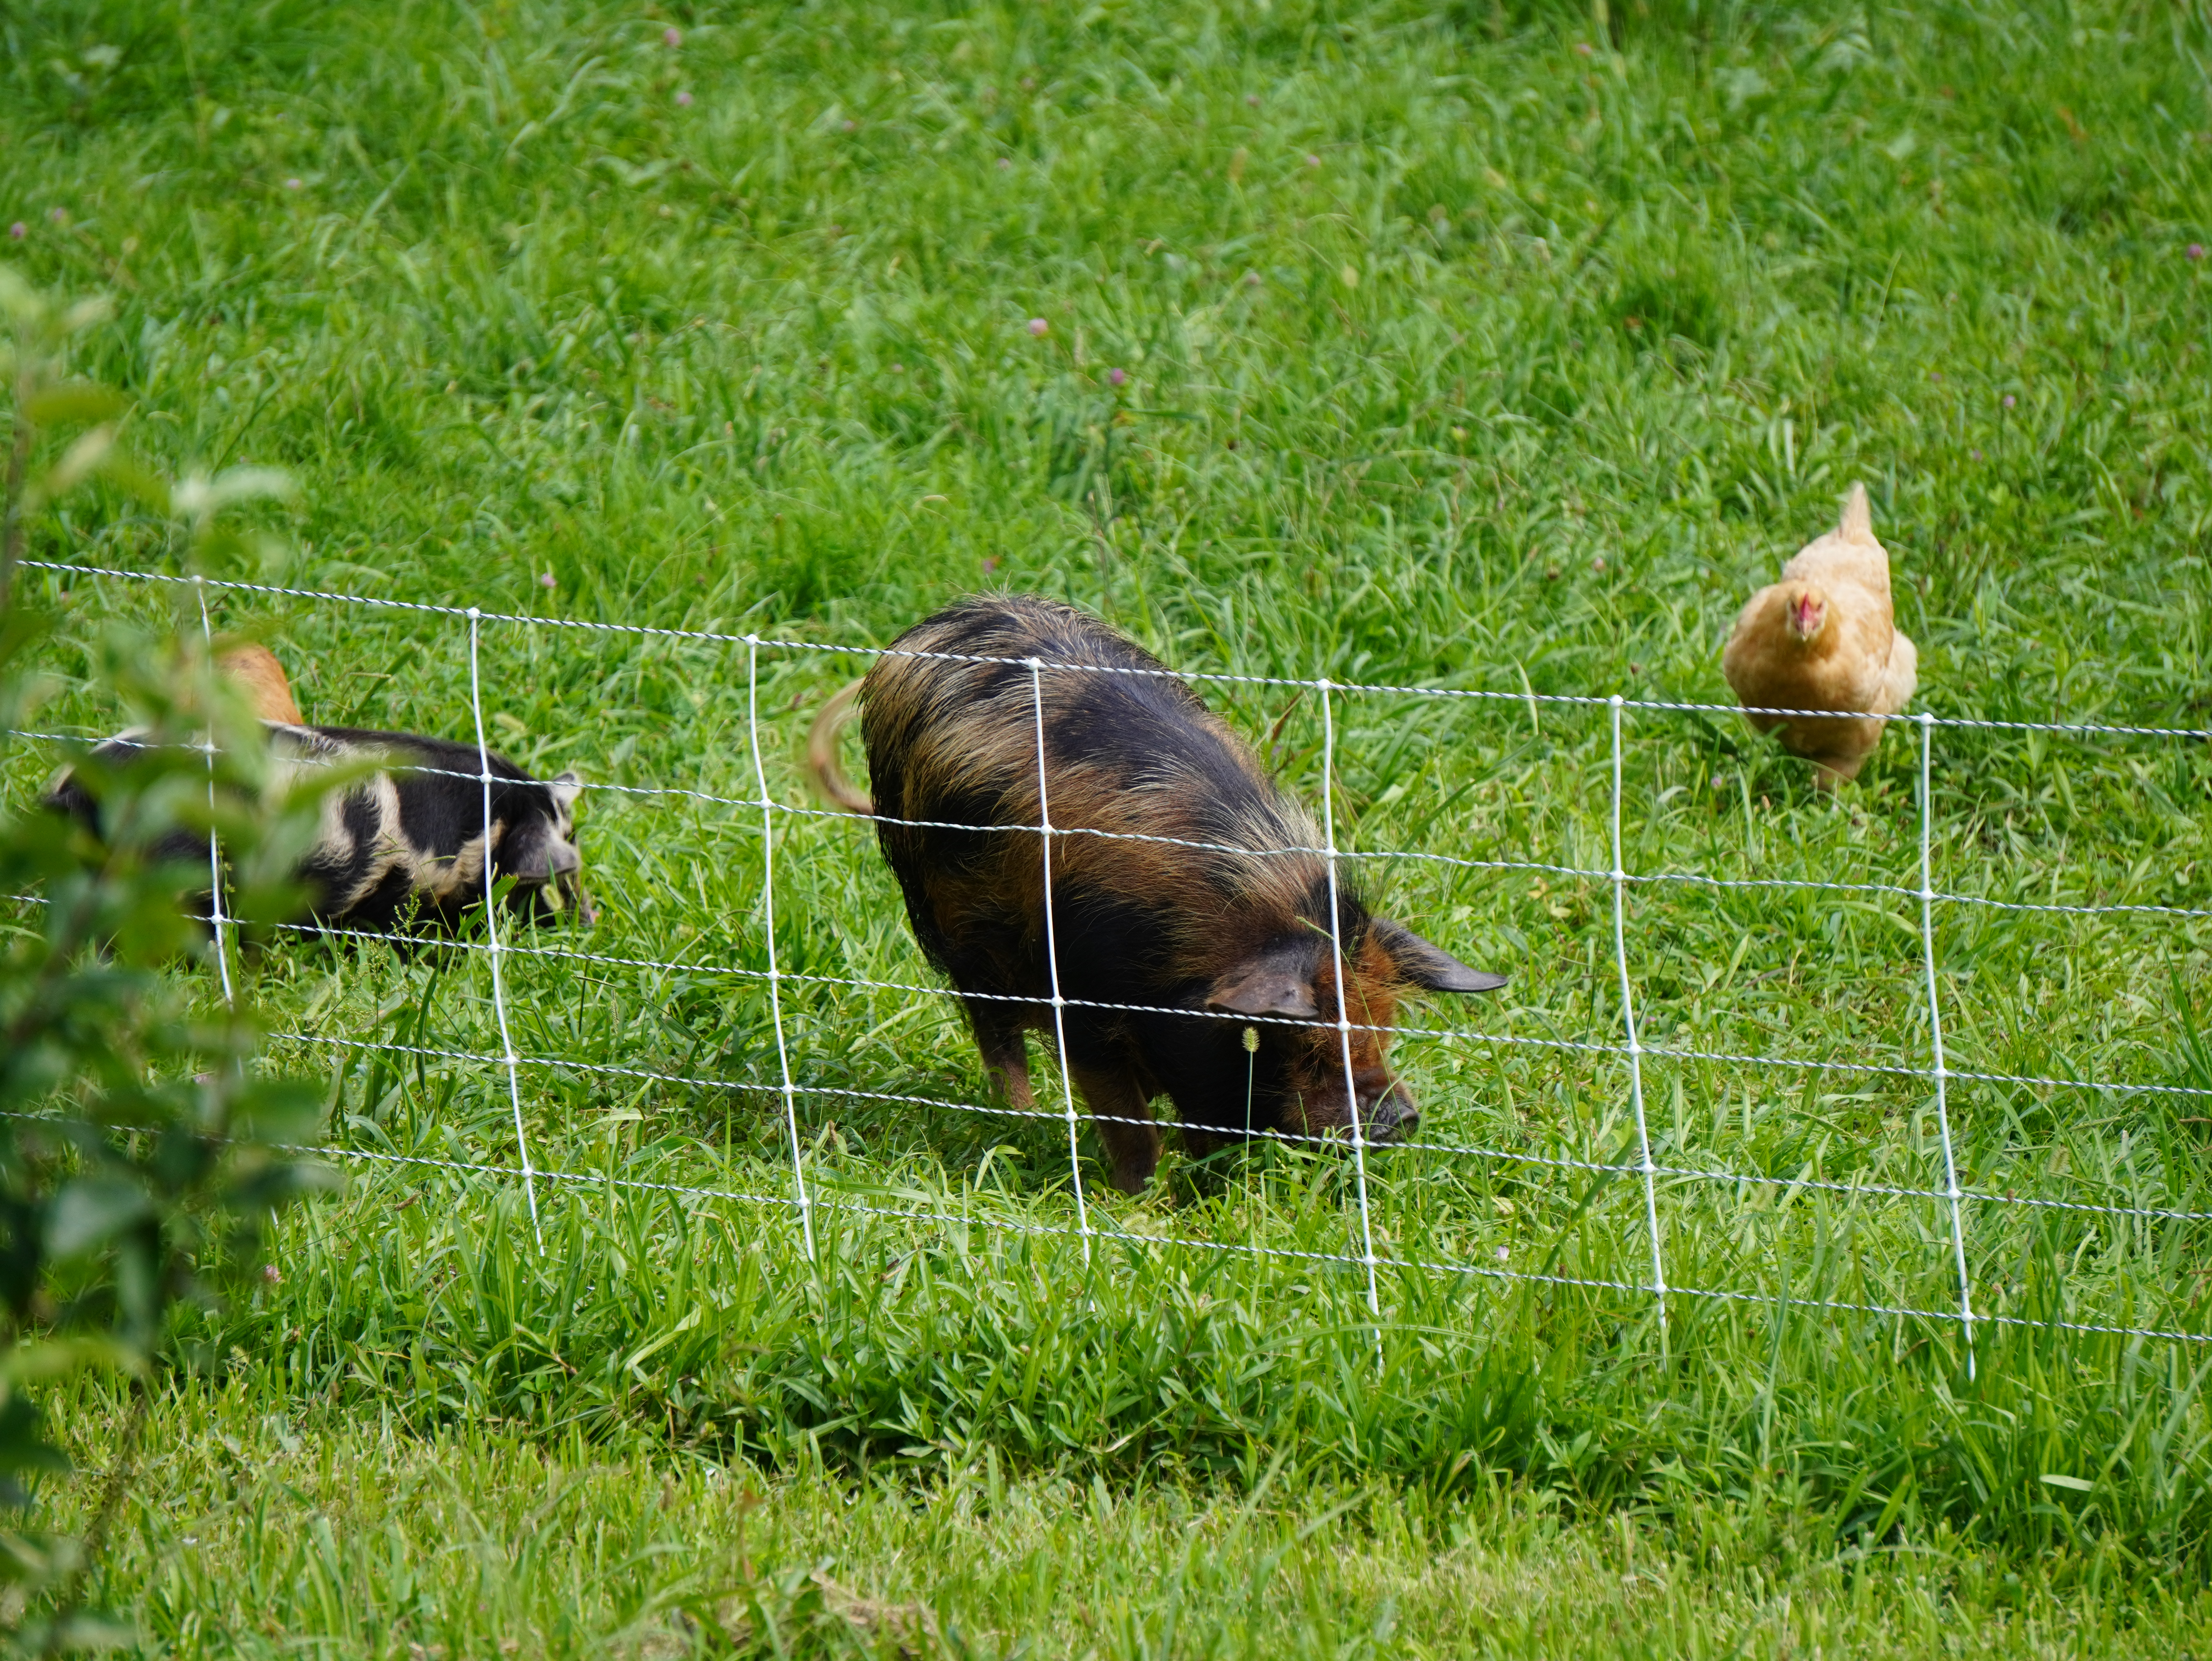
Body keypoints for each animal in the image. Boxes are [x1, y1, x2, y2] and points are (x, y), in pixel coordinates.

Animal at [808, 595, 1504, 1193]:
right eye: (1294, 1040)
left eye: (1384, 1026)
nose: (1401, 1119)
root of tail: (945, 619)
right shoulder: (1080, 996)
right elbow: (1127, 1117)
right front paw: (1139, 1202)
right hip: (946, 919)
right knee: (993, 1029)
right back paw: (1021, 1124)